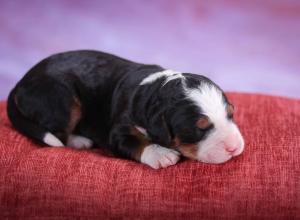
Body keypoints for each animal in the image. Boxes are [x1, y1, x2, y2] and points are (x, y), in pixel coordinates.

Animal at [7, 50, 245, 169]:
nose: (234, 148)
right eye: (199, 129)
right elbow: (135, 142)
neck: (153, 90)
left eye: (231, 114)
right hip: (62, 98)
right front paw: (161, 155)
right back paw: (80, 141)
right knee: (58, 134)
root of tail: (21, 82)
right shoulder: (117, 131)